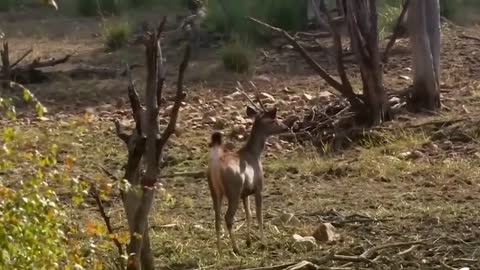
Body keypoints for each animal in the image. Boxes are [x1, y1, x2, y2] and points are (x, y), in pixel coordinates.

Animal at [206, 83, 288, 254]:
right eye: (274, 120)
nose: (285, 126)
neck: (254, 154)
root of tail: (216, 166)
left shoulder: (245, 193)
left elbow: (249, 214)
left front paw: (249, 241)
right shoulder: (258, 188)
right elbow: (259, 215)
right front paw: (263, 242)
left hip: (215, 192)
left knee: (217, 218)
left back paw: (219, 250)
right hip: (233, 190)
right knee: (228, 217)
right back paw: (236, 248)